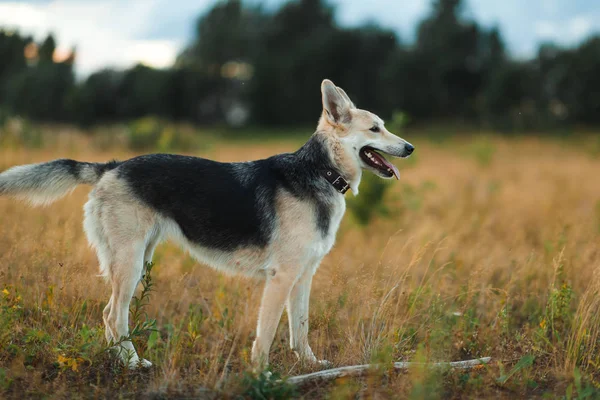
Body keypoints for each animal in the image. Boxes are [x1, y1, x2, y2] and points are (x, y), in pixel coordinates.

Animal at [0, 79, 412, 368]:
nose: (410, 148)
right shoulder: (280, 278)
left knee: (109, 317)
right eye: (375, 129)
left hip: (140, 260)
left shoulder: (303, 277)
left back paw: (123, 360)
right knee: (113, 317)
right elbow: (265, 335)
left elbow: (300, 329)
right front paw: (262, 374)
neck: (320, 171)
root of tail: (112, 166)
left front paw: (310, 365)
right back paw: (132, 363)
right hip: (129, 265)